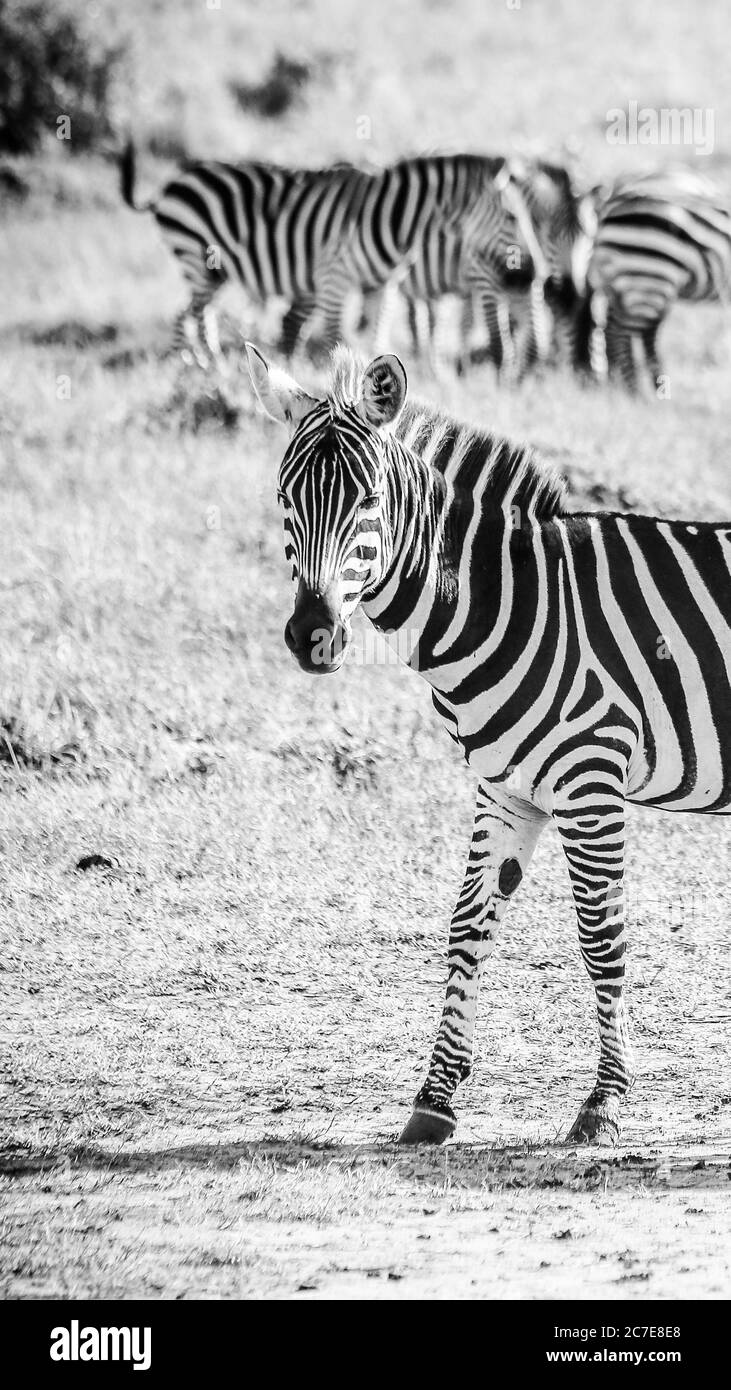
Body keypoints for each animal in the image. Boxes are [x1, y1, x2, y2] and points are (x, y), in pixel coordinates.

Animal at [244, 341, 731, 1145]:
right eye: (285, 498)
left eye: (368, 503)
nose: (311, 635)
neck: (513, 600)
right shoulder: (507, 787)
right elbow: (467, 925)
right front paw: (434, 1100)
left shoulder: (589, 780)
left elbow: (600, 938)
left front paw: (604, 1101)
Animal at [586, 173, 731, 394]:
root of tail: (612, 200)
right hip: (650, 276)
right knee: (619, 334)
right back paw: (637, 395)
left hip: (624, 281)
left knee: (616, 332)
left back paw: (620, 389)